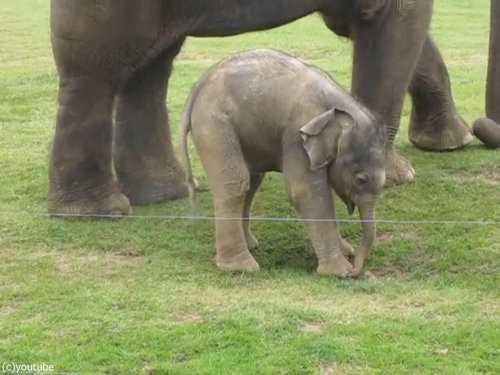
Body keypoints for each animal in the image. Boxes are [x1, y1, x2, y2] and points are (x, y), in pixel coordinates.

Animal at [48, 0, 470, 216]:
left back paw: (162, 194)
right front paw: (398, 175)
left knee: (149, 64)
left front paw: (453, 142)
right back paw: (99, 210)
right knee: (97, 68)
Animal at [182, 48, 384, 278]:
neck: (338, 109)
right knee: (235, 183)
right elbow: (304, 192)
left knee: (252, 180)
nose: (354, 270)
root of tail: (197, 88)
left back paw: (251, 247)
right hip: (213, 123)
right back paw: (242, 266)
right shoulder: (297, 134)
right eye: (361, 179)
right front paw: (338, 271)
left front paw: (345, 252)